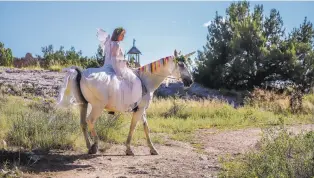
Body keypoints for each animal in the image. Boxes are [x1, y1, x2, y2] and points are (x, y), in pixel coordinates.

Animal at [56, 49, 194, 155]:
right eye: (181, 64)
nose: (190, 81)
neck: (145, 80)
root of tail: (81, 73)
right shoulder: (139, 110)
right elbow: (133, 127)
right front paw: (128, 149)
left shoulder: (141, 109)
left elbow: (146, 128)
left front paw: (152, 149)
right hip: (97, 107)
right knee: (90, 121)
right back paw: (95, 145)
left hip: (83, 104)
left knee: (83, 123)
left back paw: (89, 147)